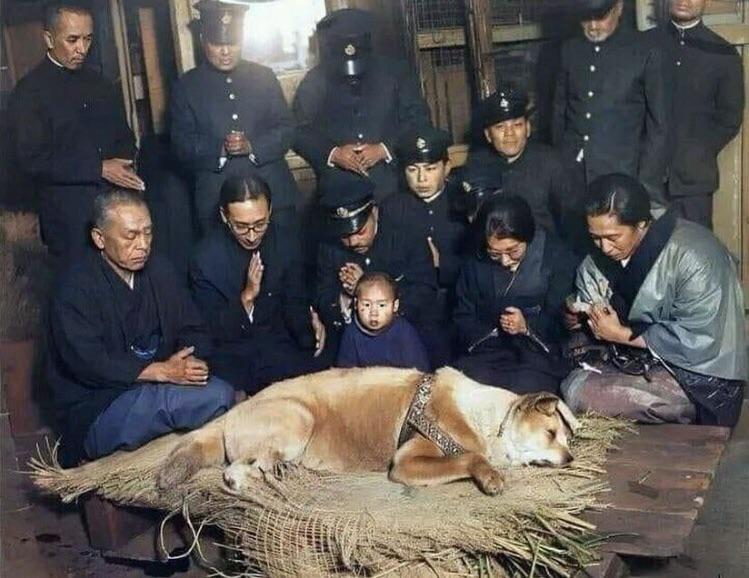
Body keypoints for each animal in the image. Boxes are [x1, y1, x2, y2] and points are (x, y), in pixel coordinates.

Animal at [158, 366, 580, 492]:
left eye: (565, 437)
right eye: (550, 434)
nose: (571, 459)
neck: (491, 420)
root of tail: (233, 411)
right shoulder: (408, 462)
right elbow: (469, 458)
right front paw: (489, 475)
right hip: (298, 418)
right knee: (237, 468)